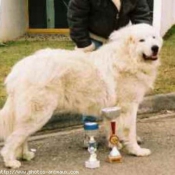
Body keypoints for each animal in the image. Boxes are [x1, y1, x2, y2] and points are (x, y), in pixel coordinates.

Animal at [0, 23, 163, 168]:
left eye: (153, 38)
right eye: (141, 40)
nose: (155, 48)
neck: (127, 57)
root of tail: (18, 69)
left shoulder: (113, 109)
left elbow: (112, 128)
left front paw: (114, 145)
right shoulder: (128, 106)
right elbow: (131, 131)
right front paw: (137, 151)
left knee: (21, 135)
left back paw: (25, 155)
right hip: (38, 113)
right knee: (14, 137)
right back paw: (11, 161)